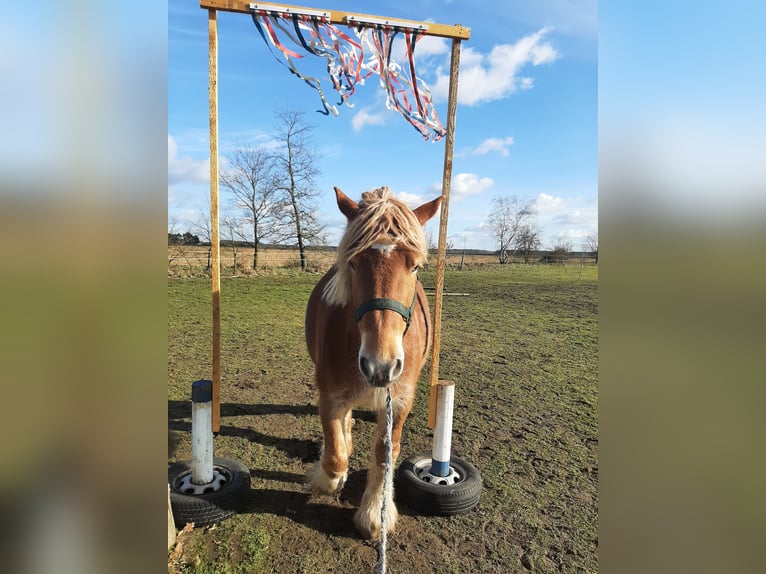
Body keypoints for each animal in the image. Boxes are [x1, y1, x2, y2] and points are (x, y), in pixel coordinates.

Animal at [306, 187, 444, 544]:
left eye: (416, 266)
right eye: (353, 263)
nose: (380, 366)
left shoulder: (400, 400)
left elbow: (385, 454)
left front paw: (374, 513)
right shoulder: (329, 394)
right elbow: (336, 455)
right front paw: (327, 480)